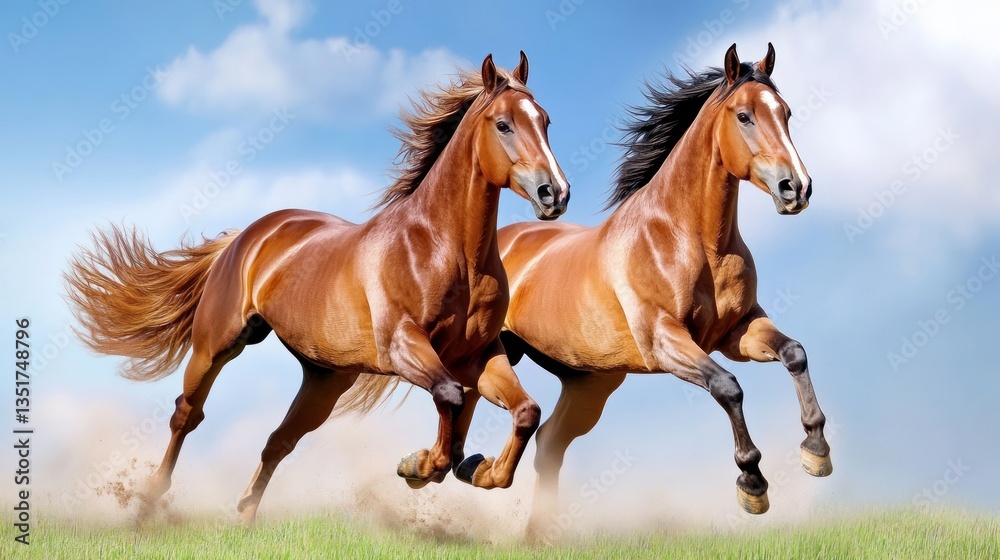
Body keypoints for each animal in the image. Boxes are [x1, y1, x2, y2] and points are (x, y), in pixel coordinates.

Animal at [65, 52, 571, 525]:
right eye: (503, 124)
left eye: (546, 121)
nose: (555, 194)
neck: (443, 249)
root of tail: (248, 235)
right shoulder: (404, 347)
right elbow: (450, 396)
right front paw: (420, 465)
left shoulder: (477, 355)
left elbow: (525, 412)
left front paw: (476, 469)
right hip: (216, 346)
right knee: (186, 414)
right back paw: (148, 503)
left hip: (325, 379)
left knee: (278, 441)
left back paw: (244, 516)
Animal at [497, 43, 831, 533]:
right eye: (744, 116)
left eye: (786, 113)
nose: (797, 189)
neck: (689, 239)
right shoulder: (666, 342)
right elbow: (728, 387)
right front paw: (752, 484)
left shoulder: (738, 333)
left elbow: (794, 353)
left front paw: (816, 451)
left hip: (588, 384)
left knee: (549, 444)